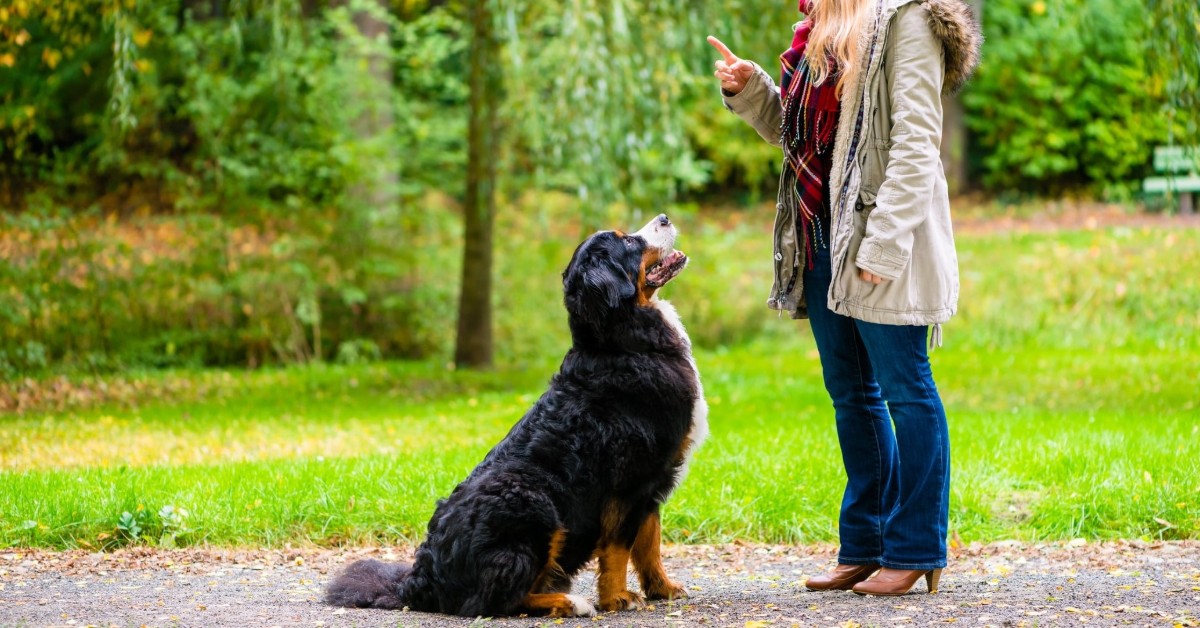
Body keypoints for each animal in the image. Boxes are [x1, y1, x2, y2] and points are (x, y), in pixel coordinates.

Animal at [324, 214, 705, 619]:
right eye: (629, 242)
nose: (664, 217)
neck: (623, 343)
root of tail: (421, 579)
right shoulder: (630, 481)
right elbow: (619, 548)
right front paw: (616, 597)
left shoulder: (653, 481)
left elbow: (649, 544)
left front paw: (662, 588)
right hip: (533, 500)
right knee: (496, 600)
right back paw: (570, 602)